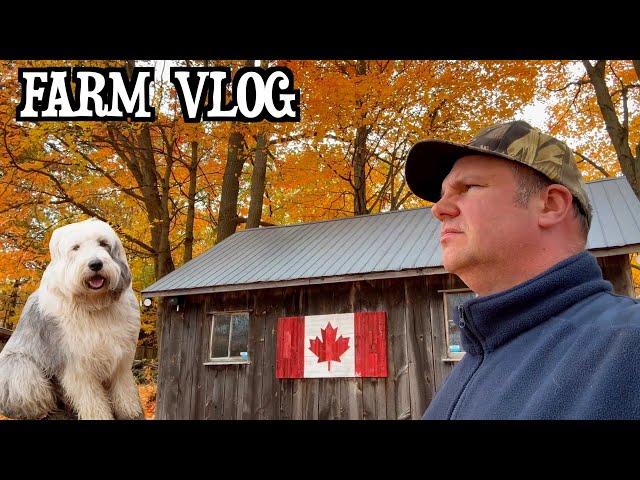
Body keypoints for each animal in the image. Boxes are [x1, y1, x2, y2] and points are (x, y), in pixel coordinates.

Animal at [0, 219, 144, 418]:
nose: (95, 264)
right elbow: (91, 398)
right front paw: (100, 415)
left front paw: (130, 412)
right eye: (76, 247)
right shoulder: (77, 363)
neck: (93, 305)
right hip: (20, 367)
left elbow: (123, 388)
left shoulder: (120, 357)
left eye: (103, 243)